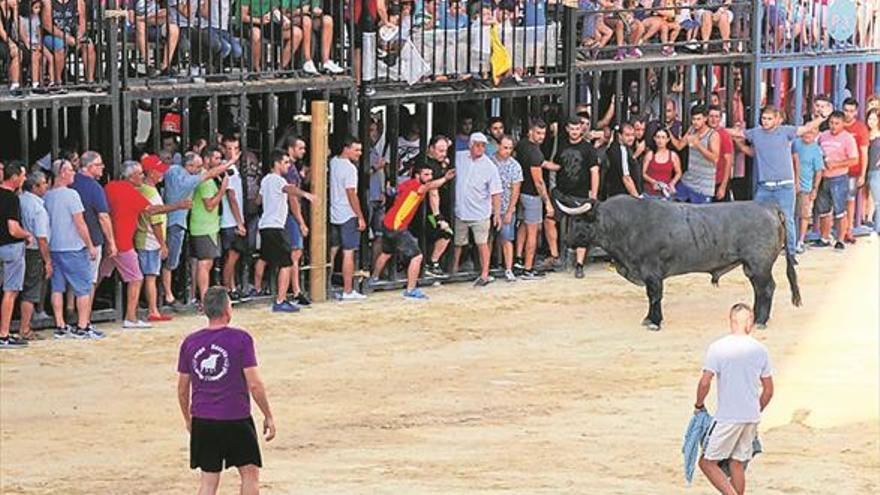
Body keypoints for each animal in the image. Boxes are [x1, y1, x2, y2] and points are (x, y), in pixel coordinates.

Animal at [560, 194, 800, 330]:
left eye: (578, 220)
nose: (565, 241)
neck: (625, 224)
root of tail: (769, 207)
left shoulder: (652, 272)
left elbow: (654, 296)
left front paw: (654, 321)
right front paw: (650, 319)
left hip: (760, 265)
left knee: (767, 288)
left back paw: (760, 321)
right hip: (751, 267)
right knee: (759, 290)